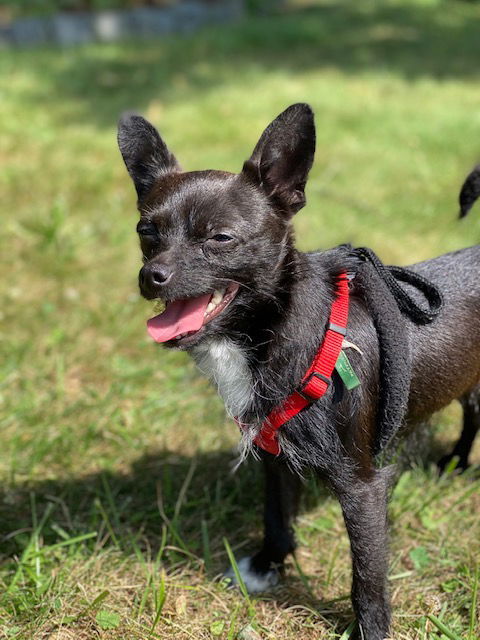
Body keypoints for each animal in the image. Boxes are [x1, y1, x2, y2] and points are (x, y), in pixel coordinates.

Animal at [117, 102, 480, 636]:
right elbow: (276, 515)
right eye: (147, 232)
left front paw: (372, 629)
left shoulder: (363, 485)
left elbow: (367, 573)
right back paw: (454, 461)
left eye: (220, 238)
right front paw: (267, 566)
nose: (151, 276)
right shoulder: (274, 453)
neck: (275, 332)